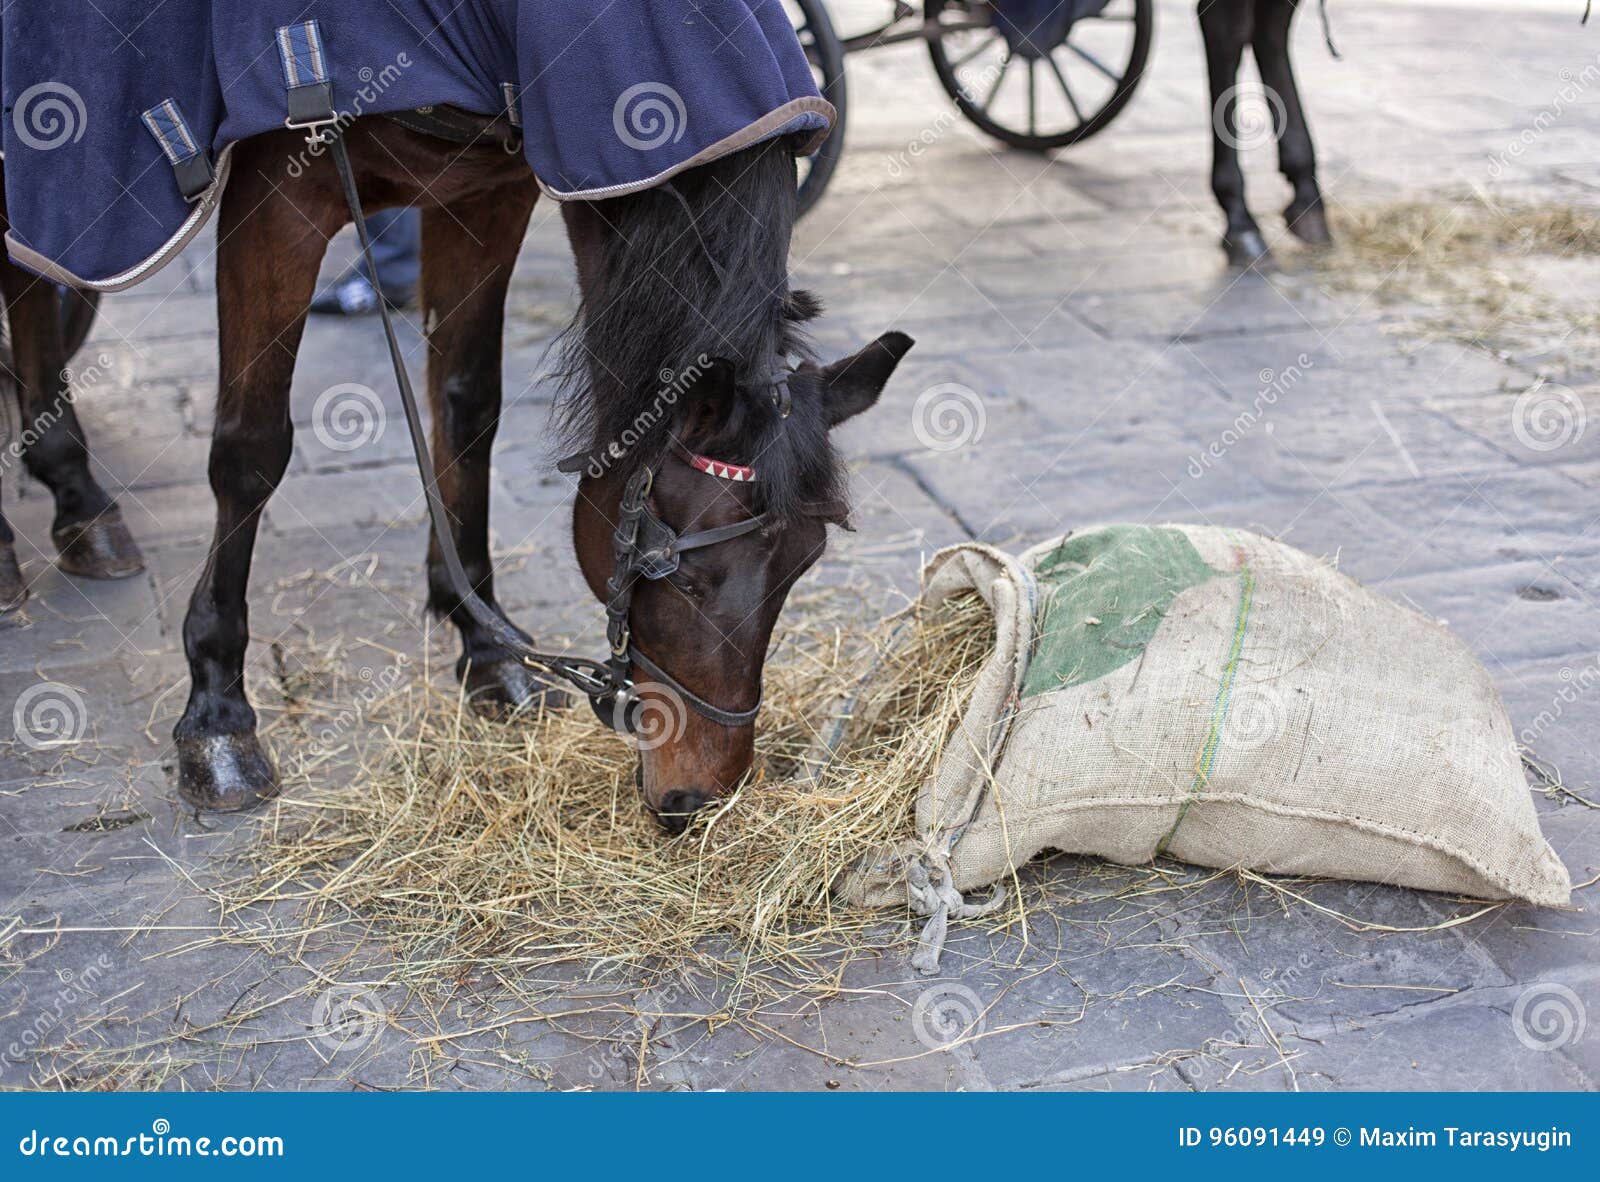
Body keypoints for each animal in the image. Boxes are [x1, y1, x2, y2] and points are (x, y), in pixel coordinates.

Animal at [175, 122, 915, 831]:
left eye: (800, 569)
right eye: (686, 579)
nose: (702, 798)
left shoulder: (483, 191)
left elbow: (467, 404)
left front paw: (486, 645)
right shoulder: (277, 189)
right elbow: (250, 448)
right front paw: (218, 712)